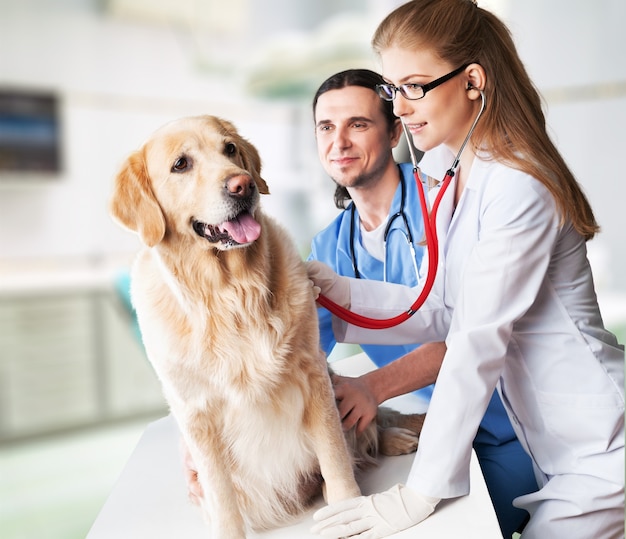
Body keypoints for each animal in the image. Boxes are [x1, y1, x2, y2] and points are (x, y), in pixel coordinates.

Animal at [108, 116, 424, 536]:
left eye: (229, 149)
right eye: (181, 165)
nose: (243, 185)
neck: (231, 293)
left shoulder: (312, 373)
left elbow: (335, 456)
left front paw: (350, 511)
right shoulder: (197, 416)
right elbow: (221, 496)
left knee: (366, 431)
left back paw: (398, 438)